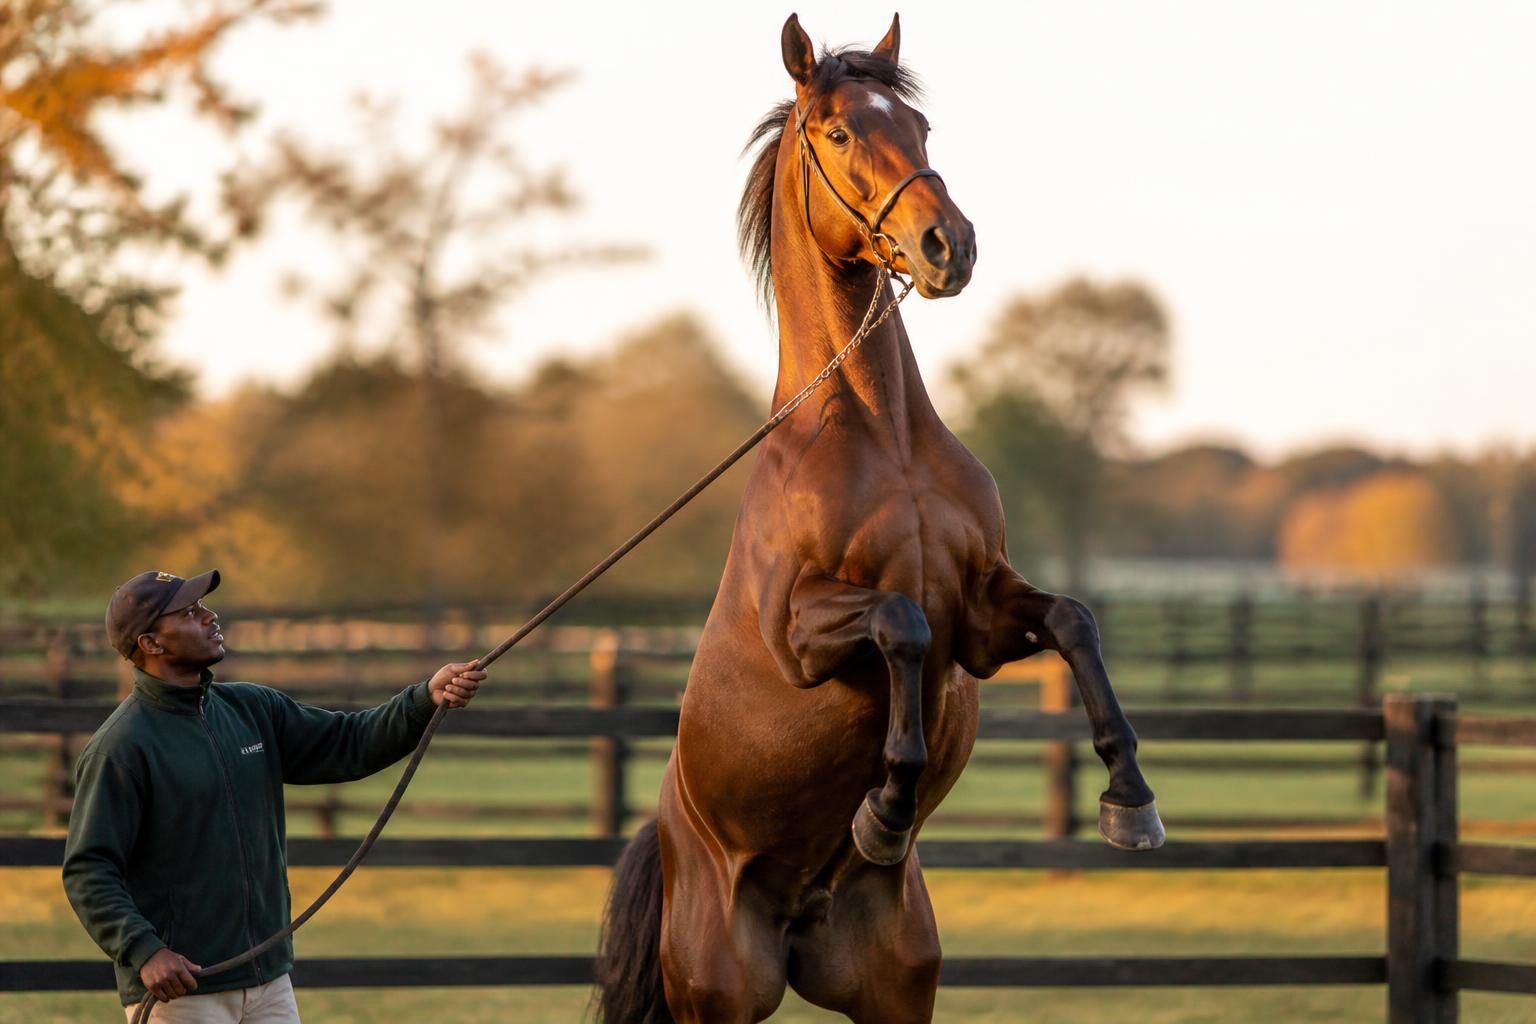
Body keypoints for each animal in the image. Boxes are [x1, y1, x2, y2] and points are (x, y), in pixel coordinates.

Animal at [597, 15, 1163, 1023]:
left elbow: (1072, 619)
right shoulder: (802, 633)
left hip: (896, 987)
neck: (880, 438)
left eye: (920, 128)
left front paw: (1130, 798)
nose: (948, 246)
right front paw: (887, 808)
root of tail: (666, 837)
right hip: (717, 997)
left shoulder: (982, 615)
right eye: (838, 132)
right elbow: (900, 623)